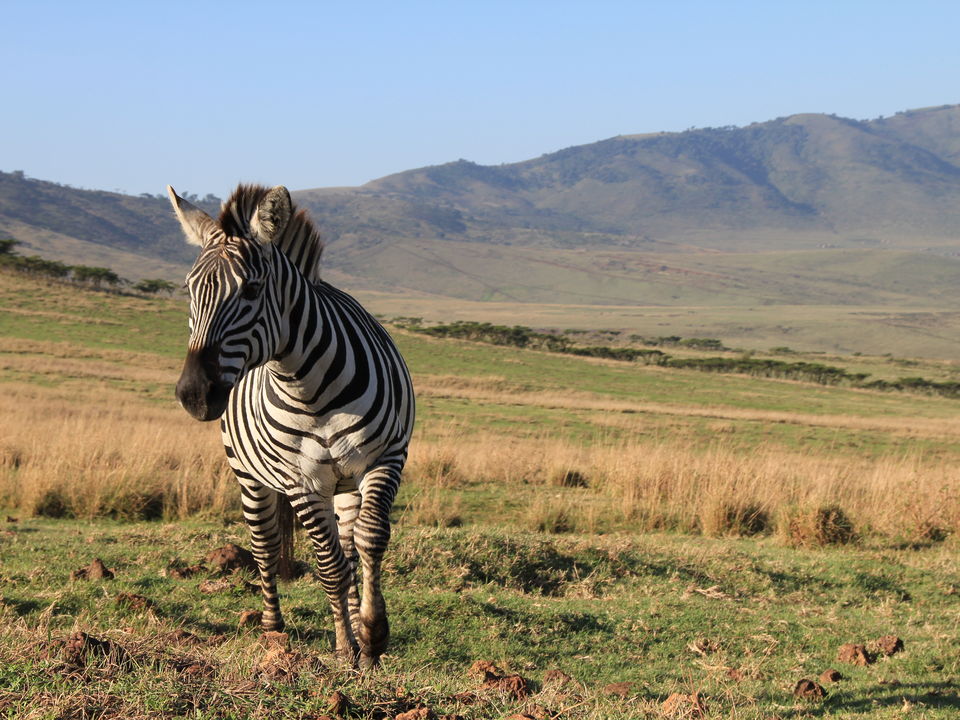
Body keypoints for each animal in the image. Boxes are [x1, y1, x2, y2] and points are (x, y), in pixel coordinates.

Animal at [168, 183, 415, 669]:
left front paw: (371, 636)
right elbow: (328, 565)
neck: (308, 387)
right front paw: (344, 649)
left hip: (344, 483)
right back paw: (273, 631)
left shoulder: (386, 458)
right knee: (265, 546)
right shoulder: (299, 481)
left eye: (251, 289)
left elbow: (369, 541)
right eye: (189, 290)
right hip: (250, 478)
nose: (194, 395)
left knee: (350, 543)